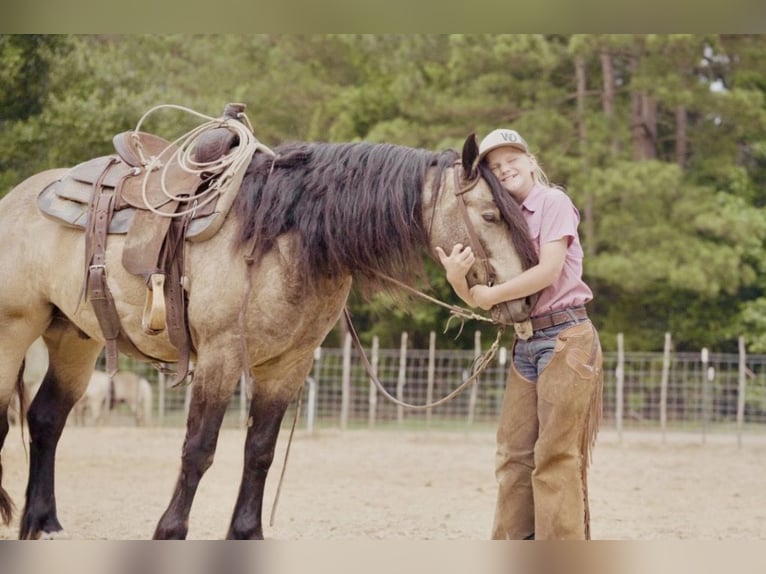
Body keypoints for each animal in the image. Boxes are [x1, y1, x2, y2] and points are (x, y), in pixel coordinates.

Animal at [0, 133, 539, 539]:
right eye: (491, 215)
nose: (528, 298)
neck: (284, 237)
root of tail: (19, 197)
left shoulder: (289, 365)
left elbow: (259, 451)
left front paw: (246, 533)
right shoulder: (219, 358)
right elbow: (199, 449)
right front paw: (170, 531)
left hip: (76, 339)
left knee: (46, 420)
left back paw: (44, 523)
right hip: (14, 332)